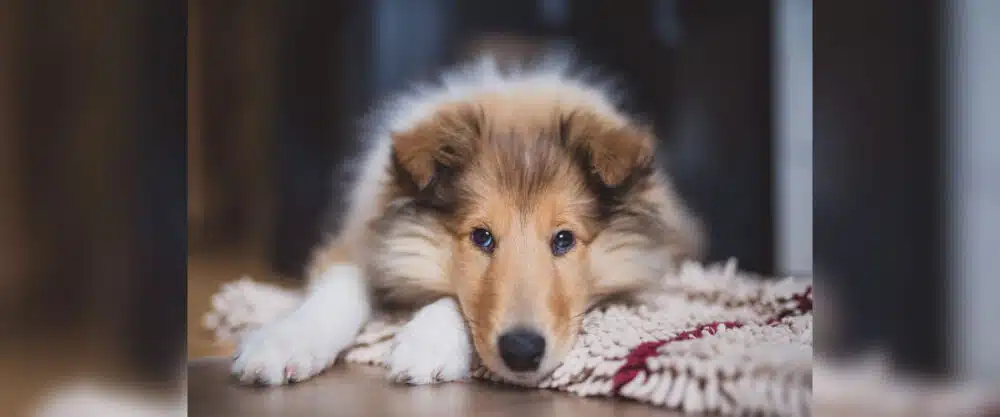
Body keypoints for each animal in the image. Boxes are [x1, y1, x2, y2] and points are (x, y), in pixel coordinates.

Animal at [233, 56, 704, 386]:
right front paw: (281, 346)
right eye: (481, 237)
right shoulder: (364, 238)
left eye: (564, 239)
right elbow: (338, 287)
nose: (521, 351)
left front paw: (425, 346)